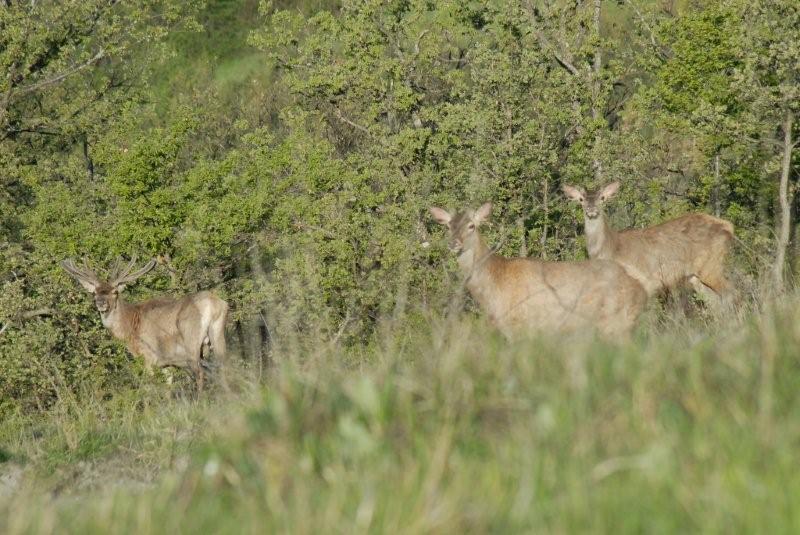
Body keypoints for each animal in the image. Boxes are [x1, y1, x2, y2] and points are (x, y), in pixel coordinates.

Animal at [60, 258, 225, 392]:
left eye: (114, 292)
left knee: (200, 374)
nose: (101, 303)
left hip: (191, 342)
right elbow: (168, 388)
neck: (129, 328)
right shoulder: (167, 363)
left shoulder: (148, 357)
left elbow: (150, 388)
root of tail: (213, 304)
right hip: (218, 335)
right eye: (94, 292)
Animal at [428, 203, 648, 338]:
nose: (453, 243)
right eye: (448, 226)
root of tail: (641, 287)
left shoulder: (521, 326)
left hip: (617, 321)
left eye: (471, 226)